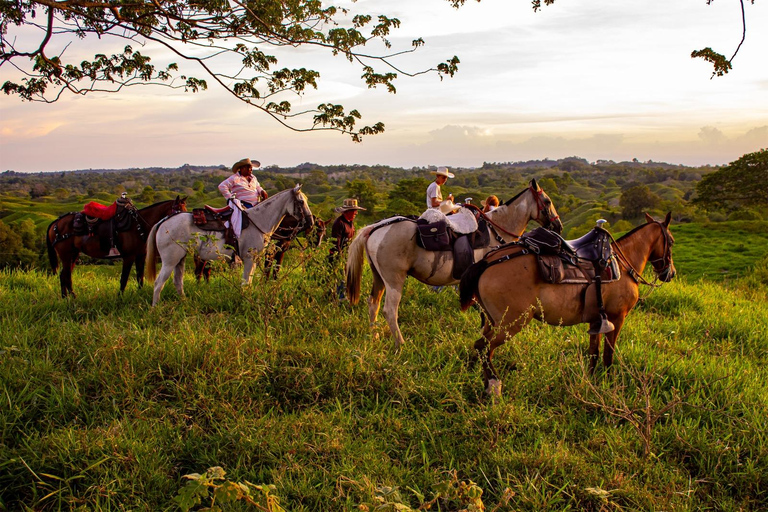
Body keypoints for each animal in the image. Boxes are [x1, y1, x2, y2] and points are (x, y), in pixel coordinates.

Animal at [46, 197, 188, 300]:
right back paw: (73, 297)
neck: (138, 225)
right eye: (178, 210)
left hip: (74, 254)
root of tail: (56, 222)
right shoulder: (128, 257)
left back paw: (65, 298)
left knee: (63, 275)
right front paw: (120, 298)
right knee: (67, 276)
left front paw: (140, 294)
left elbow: (140, 278)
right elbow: (124, 279)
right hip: (65, 255)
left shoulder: (140, 256)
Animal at [144, 184, 312, 304]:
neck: (258, 221)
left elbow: (249, 282)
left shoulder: (254, 260)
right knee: (159, 283)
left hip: (180, 258)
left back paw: (184, 303)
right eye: (301, 201)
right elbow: (245, 283)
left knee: (177, 282)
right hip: (170, 260)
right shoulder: (249, 259)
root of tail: (164, 221)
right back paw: (155, 309)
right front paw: (245, 301)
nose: (310, 223)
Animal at [344, 178, 560, 350]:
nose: (557, 225)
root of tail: (375, 227)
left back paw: (374, 336)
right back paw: (400, 344)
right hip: (394, 280)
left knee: (373, 304)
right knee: (390, 310)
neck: (497, 230)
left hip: (379, 277)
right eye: (547, 201)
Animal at [460, 212, 676, 396]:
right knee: (483, 347)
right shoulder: (617, 318)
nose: (670, 273)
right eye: (672, 242)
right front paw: (609, 383)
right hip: (511, 323)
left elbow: (593, 353)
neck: (621, 264)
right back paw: (494, 387)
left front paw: (591, 381)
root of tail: (487, 262)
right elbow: (608, 354)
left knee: (482, 349)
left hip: (493, 322)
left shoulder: (597, 320)